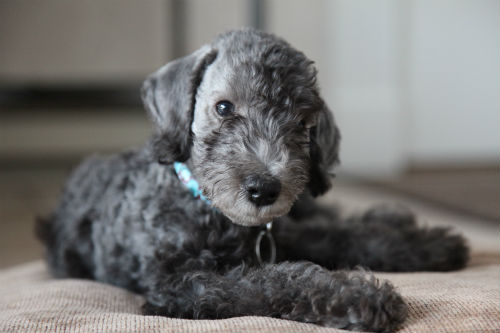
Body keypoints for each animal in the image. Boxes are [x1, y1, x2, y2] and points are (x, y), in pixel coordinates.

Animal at [36, 29, 468, 332]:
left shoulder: (287, 232)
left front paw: (429, 244)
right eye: (224, 108)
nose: (264, 189)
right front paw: (360, 297)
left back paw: (396, 218)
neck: (207, 208)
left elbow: (342, 235)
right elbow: (273, 280)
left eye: (302, 123)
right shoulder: (183, 283)